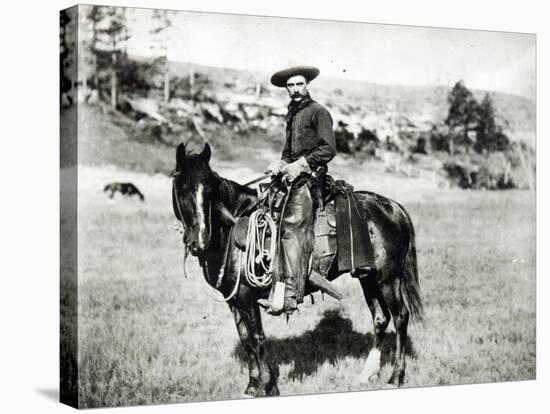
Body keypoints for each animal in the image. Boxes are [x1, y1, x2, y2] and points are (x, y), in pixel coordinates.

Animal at [171, 143, 422, 398]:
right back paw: (367, 374)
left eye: (210, 189)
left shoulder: (246, 297)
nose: (199, 242)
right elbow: (246, 340)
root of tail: (394, 208)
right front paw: (252, 385)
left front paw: (268, 386)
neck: (230, 231)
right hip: (367, 276)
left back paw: (395, 377)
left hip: (388, 278)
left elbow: (257, 339)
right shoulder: (234, 299)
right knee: (381, 318)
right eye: (182, 188)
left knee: (400, 316)